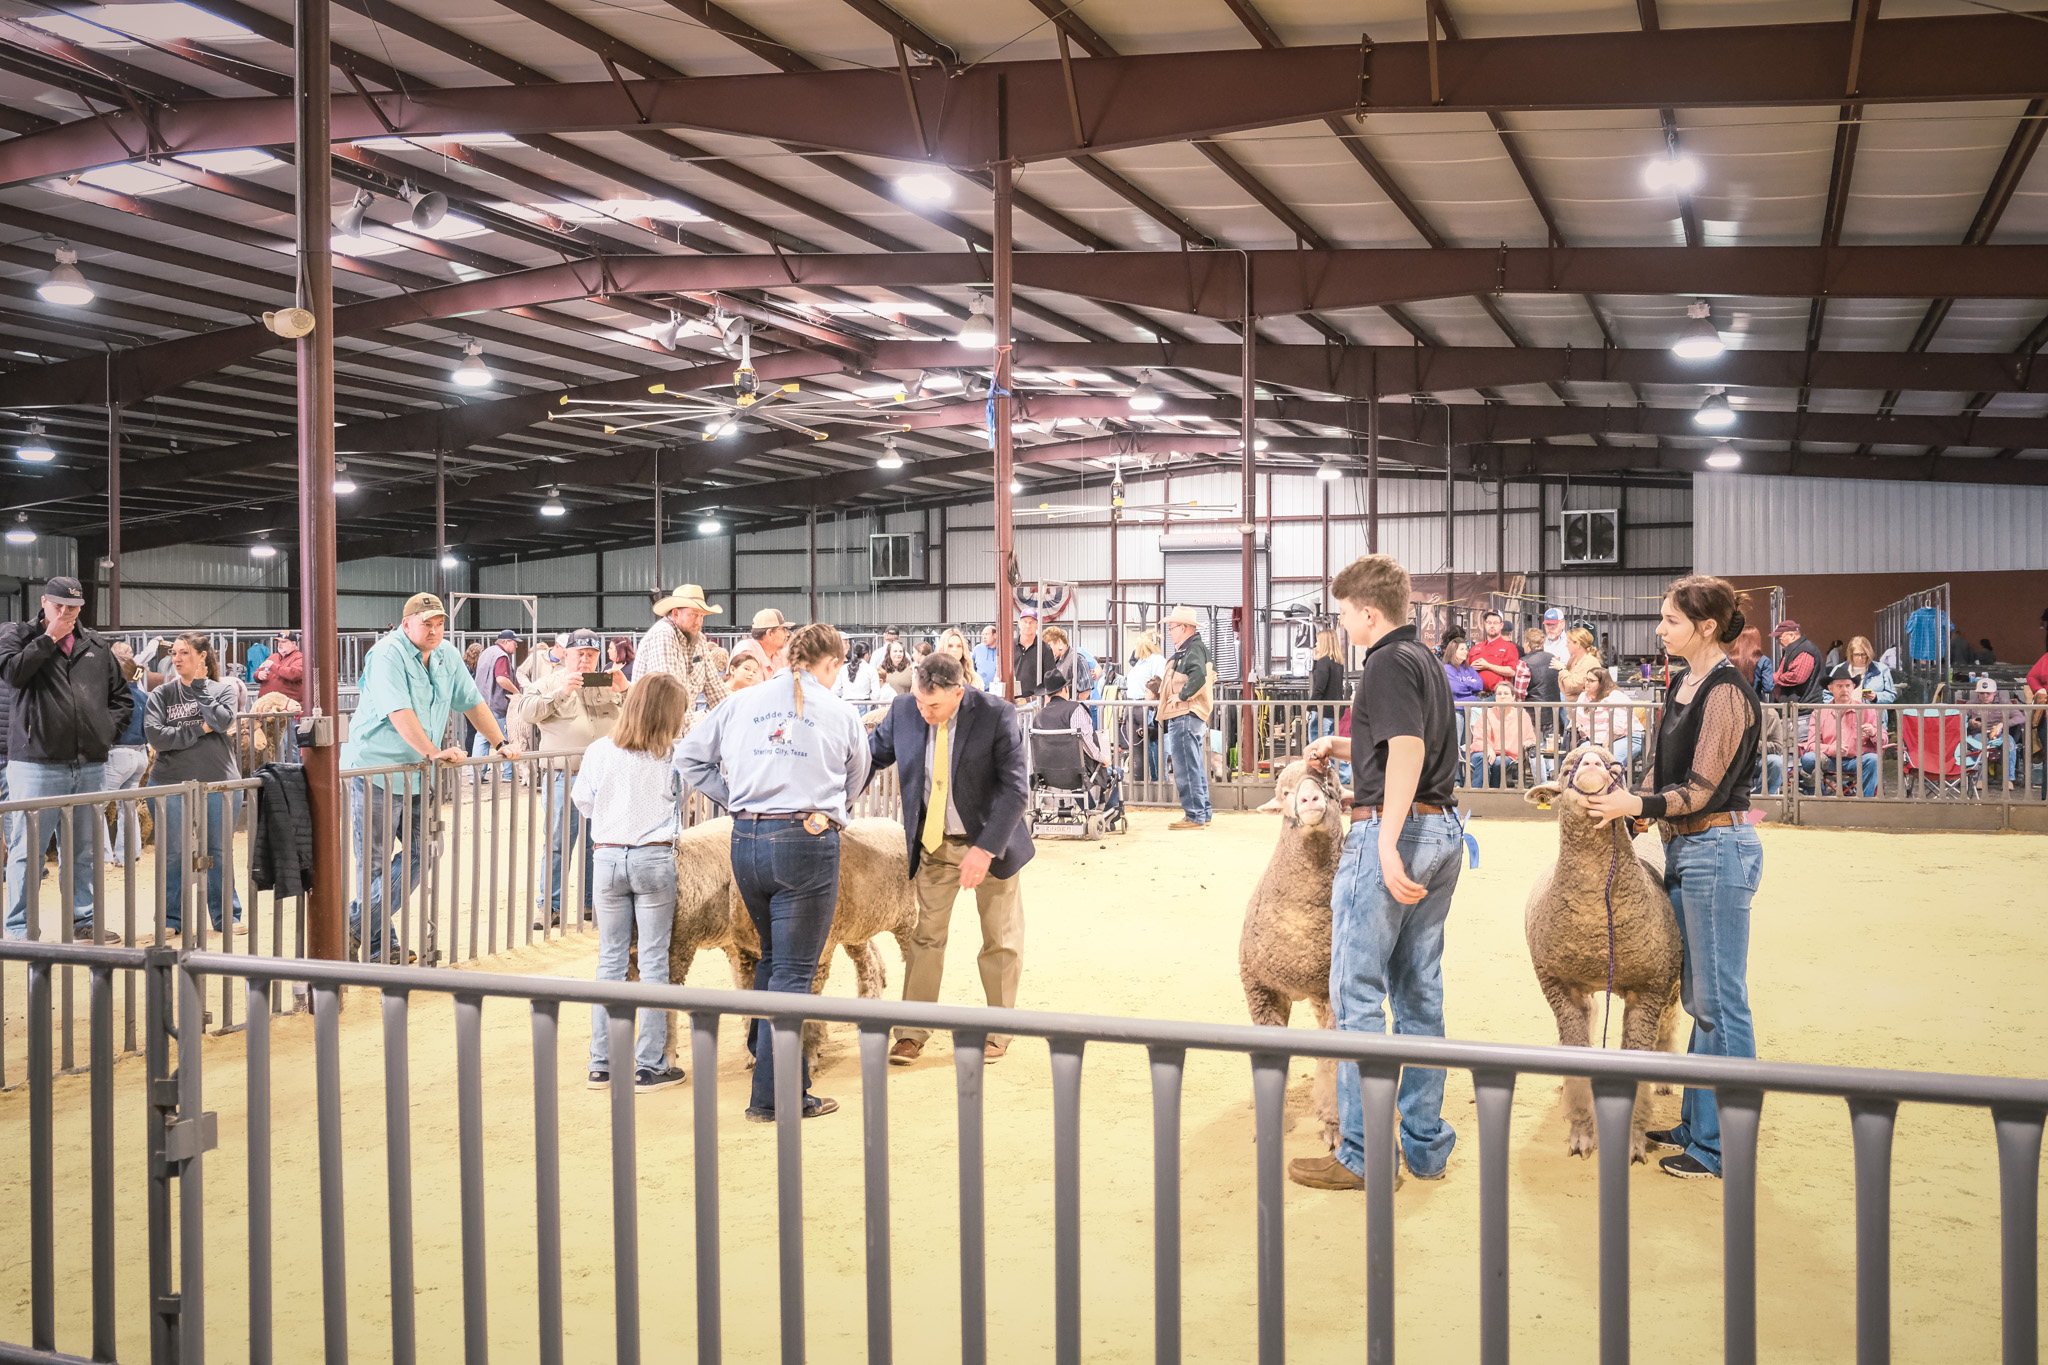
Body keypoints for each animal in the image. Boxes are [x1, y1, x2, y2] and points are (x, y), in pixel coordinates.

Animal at [1236, 757, 1351, 1154]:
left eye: (1330, 783)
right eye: (1284, 792)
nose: (1310, 799)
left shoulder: (1334, 995)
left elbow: (1331, 1067)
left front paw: (1334, 1126)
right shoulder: (1262, 993)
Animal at [1523, 749, 1679, 1162]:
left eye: (1615, 768)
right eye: (1566, 767)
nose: (1591, 763)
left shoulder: (1649, 988)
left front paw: (1634, 1142)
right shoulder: (1560, 986)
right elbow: (1577, 1048)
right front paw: (1581, 1134)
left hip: (1672, 976)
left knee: (1670, 1019)